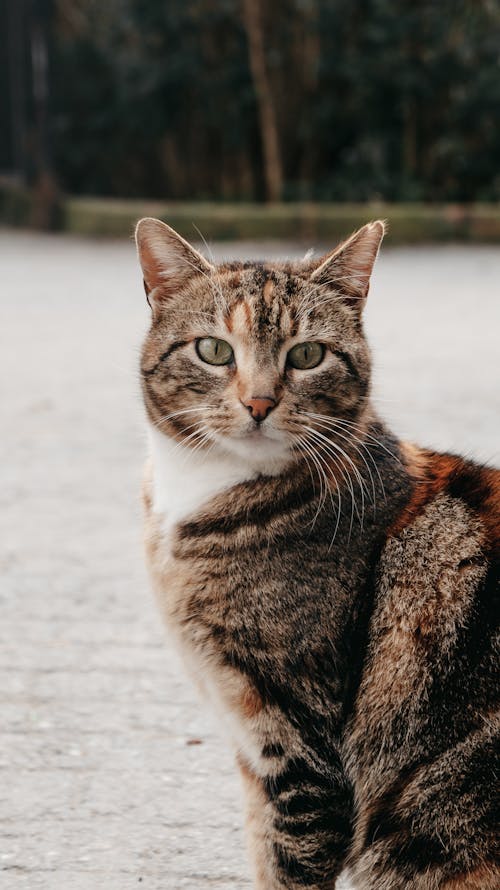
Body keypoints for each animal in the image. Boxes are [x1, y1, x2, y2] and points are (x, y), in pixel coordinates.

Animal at [135, 217, 498, 888]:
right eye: (214, 350)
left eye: (307, 355)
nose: (258, 403)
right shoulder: (256, 754)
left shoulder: (302, 747)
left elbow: (287, 867)